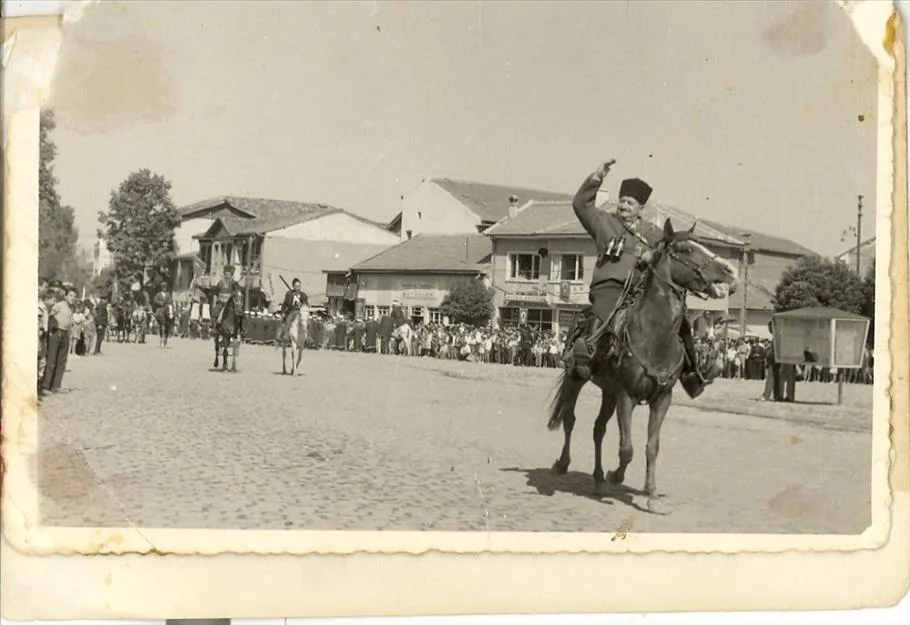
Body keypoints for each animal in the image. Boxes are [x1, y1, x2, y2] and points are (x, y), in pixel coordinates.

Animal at [548, 217, 740, 516]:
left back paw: (598, 480)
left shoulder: (662, 398)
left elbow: (652, 447)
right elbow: (627, 448)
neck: (654, 335)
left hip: (608, 393)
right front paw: (617, 475)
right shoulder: (626, 395)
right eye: (686, 249)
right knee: (570, 419)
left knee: (598, 430)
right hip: (576, 379)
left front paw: (652, 495)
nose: (730, 270)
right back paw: (564, 464)